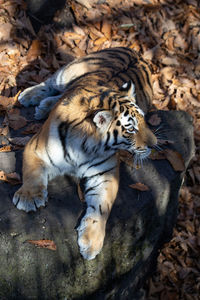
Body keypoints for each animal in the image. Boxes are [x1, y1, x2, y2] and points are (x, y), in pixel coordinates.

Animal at [13, 47, 158, 260]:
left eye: (145, 121)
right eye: (131, 129)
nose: (155, 144)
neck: (85, 146)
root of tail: (138, 53)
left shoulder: (106, 174)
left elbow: (101, 208)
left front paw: (91, 242)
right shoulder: (35, 148)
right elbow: (32, 174)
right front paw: (29, 198)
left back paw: (45, 106)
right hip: (67, 72)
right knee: (50, 83)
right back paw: (29, 96)